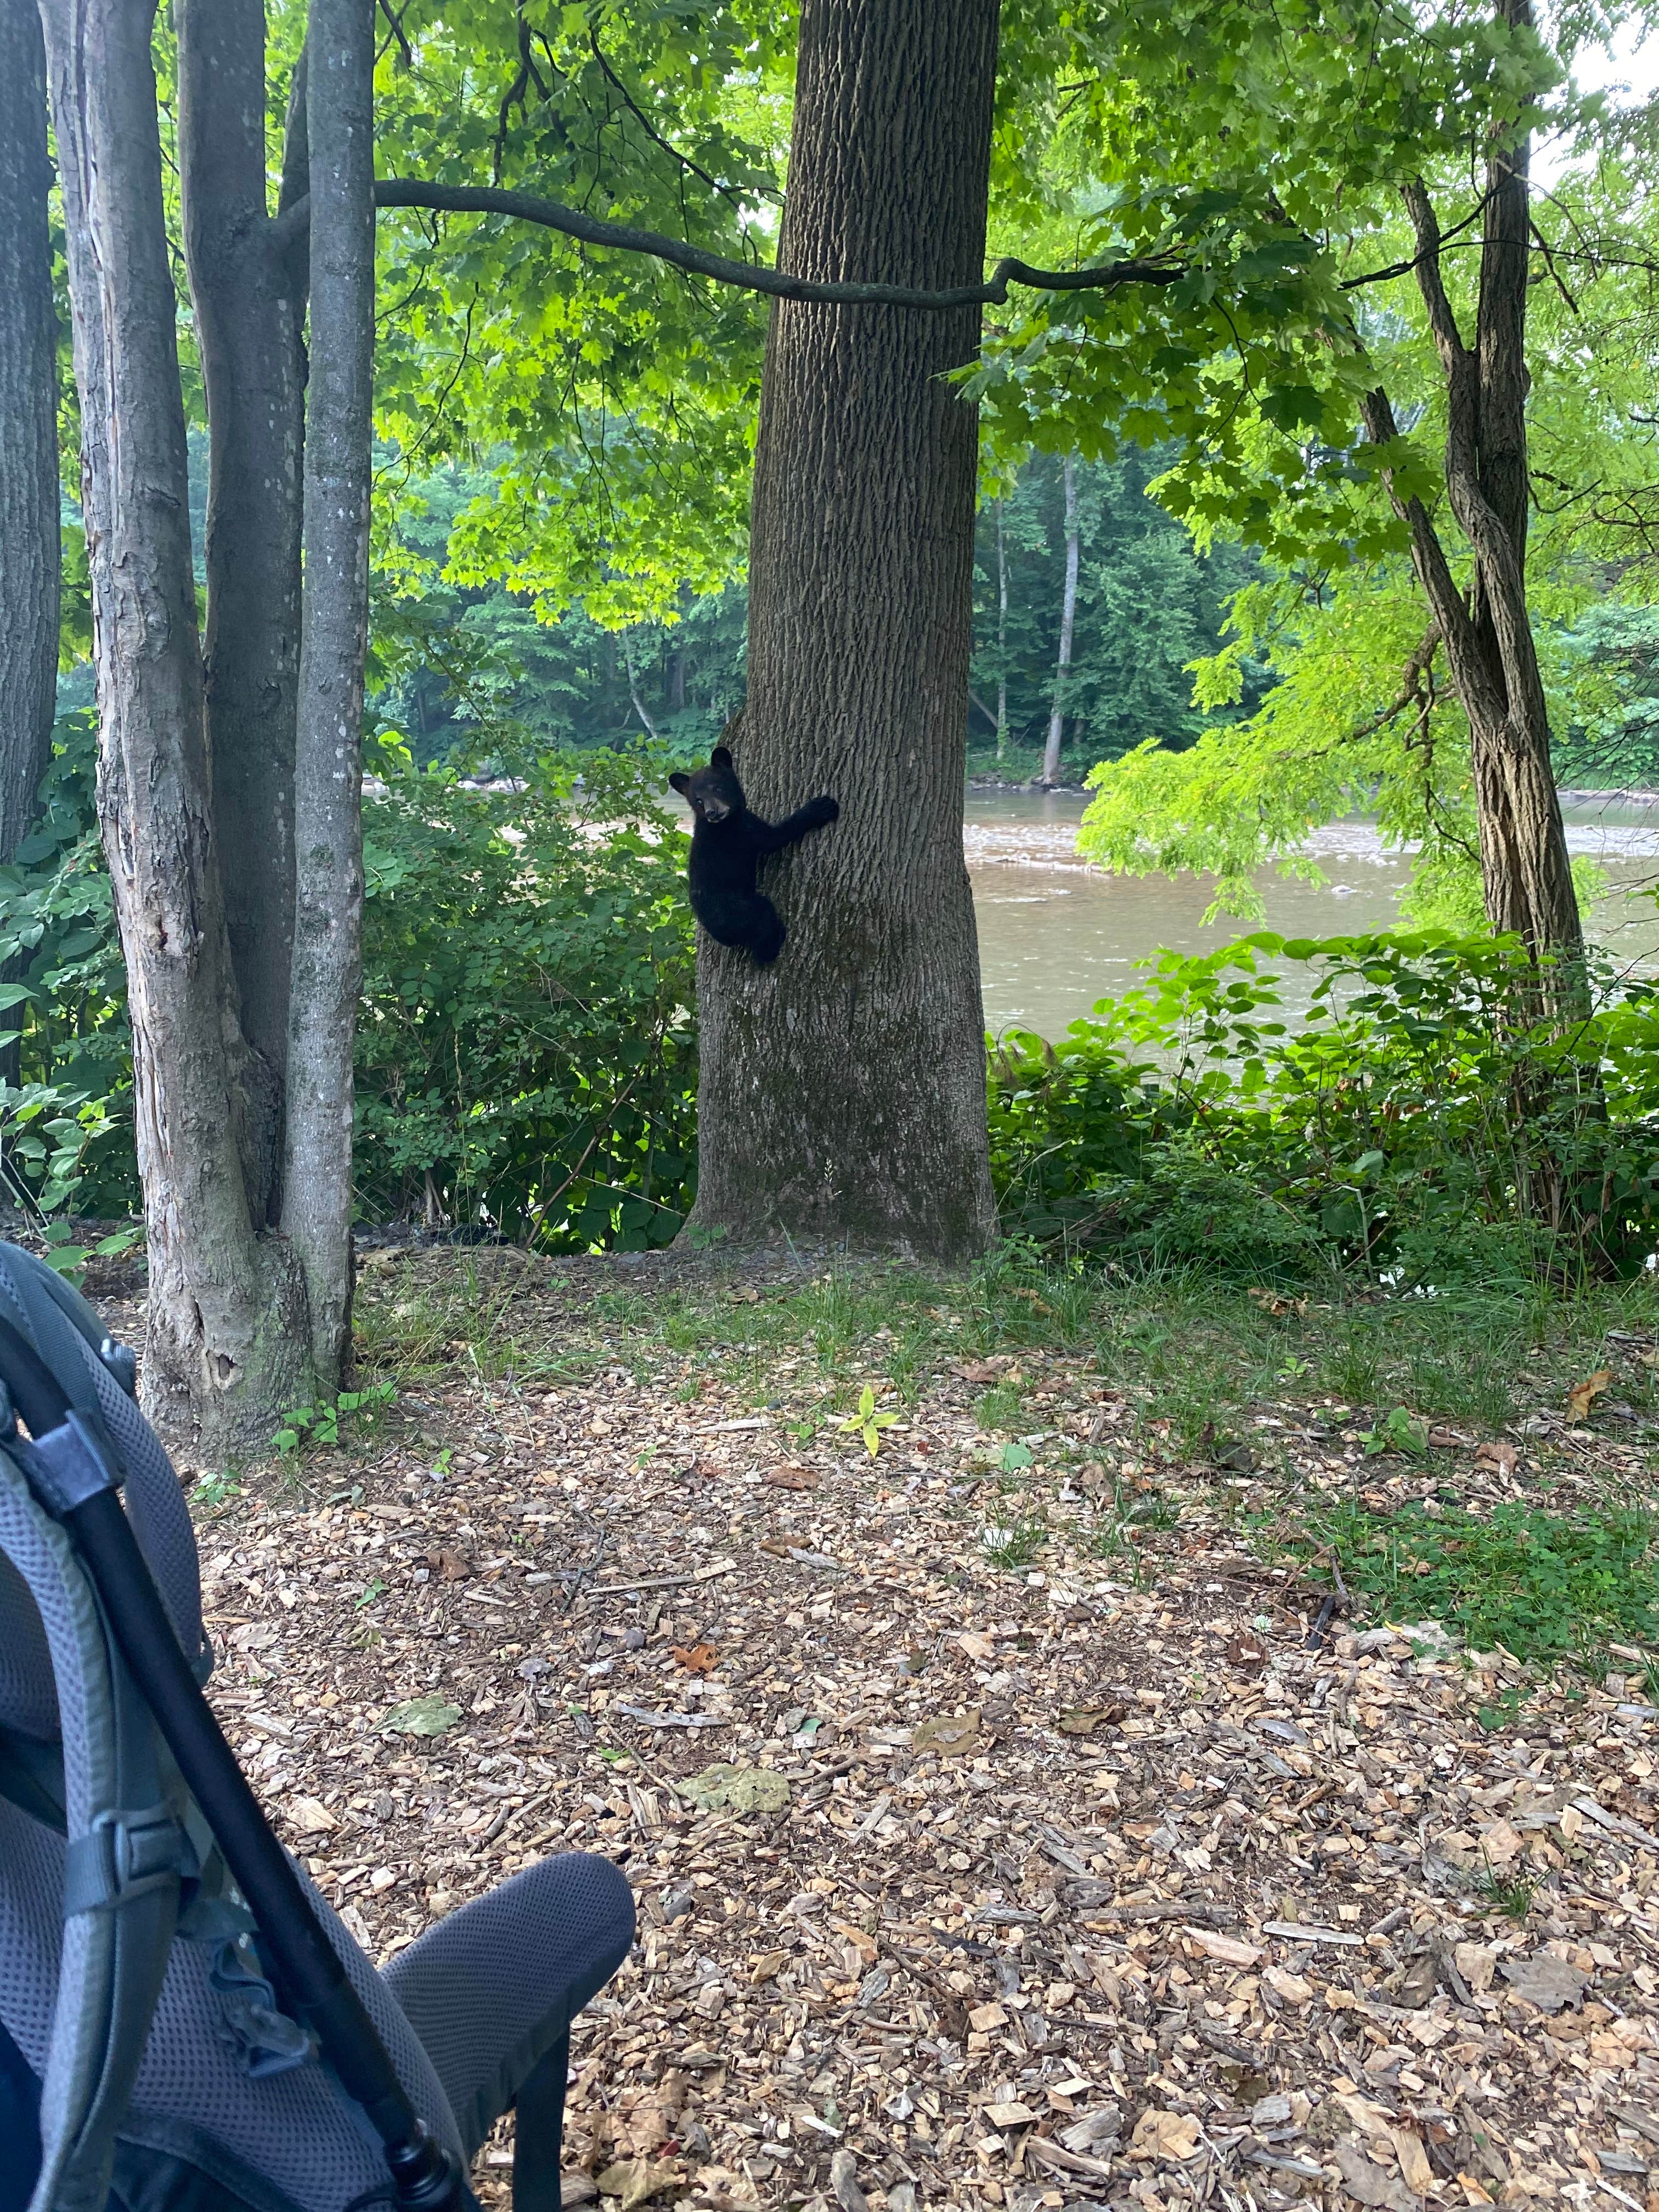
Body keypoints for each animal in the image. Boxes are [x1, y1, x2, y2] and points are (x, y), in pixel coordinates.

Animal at [668, 745, 839, 966]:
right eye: (698, 800)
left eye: (717, 788)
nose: (712, 812)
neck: (727, 820)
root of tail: (720, 934)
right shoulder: (744, 831)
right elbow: (775, 837)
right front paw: (820, 808)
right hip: (741, 911)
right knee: (764, 922)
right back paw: (773, 945)